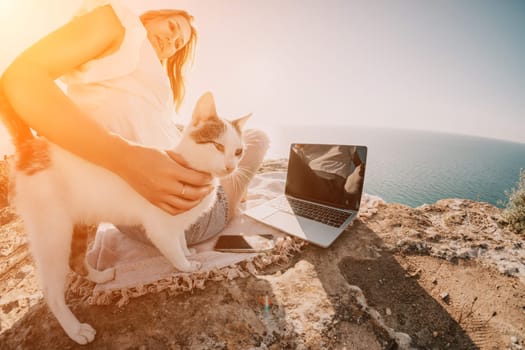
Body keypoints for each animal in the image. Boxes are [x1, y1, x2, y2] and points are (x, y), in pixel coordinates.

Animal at [4, 91, 250, 344]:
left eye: (238, 152)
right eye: (218, 146)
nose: (230, 167)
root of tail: (30, 147)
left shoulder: (176, 219)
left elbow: (180, 238)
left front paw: (187, 251)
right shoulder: (159, 227)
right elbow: (173, 250)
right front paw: (186, 265)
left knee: (76, 261)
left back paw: (100, 277)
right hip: (54, 233)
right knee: (51, 290)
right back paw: (75, 329)